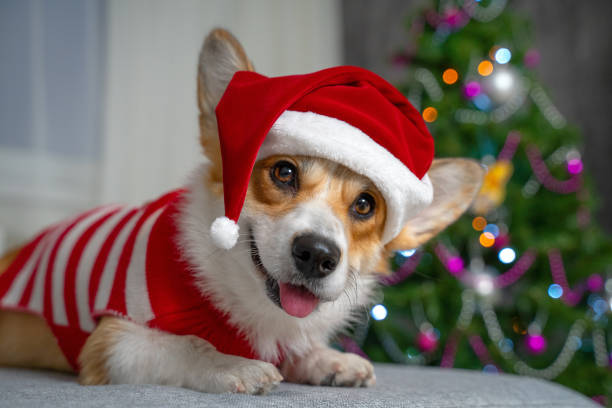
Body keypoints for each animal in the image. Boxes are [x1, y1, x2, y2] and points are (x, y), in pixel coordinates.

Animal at [0, 27, 482, 392]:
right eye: (284, 172)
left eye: (365, 204)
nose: (317, 255)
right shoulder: (114, 340)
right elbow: (189, 346)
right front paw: (234, 365)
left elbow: (299, 349)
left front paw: (330, 360)